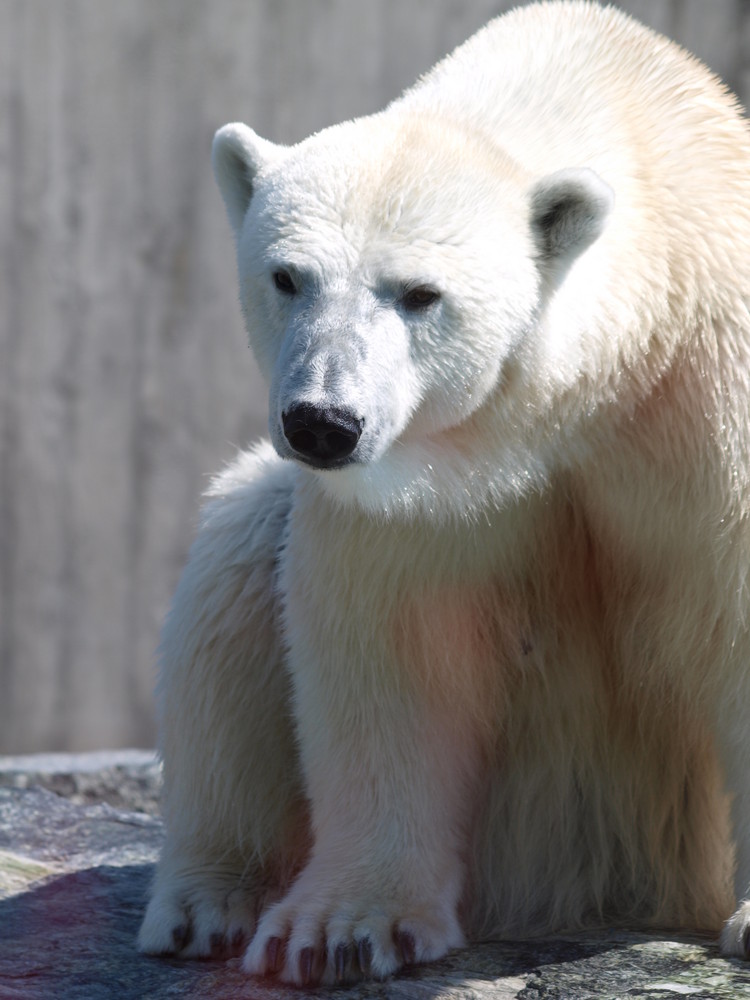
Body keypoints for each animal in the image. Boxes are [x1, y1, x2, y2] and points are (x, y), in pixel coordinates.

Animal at [138, 0, 750, 984]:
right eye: (287, 276)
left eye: (420, 294)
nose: (322, 421)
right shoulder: (417, 484)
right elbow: (393, 639)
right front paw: (342, 928)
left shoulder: (706, 397)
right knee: (235, 561)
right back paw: (210, 905)